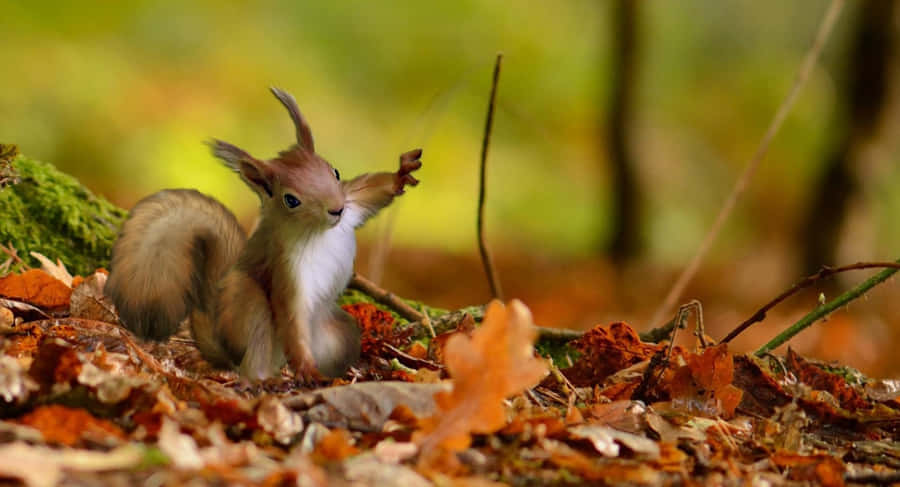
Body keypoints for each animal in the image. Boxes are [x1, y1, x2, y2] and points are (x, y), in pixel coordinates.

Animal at [105, 87, 422, 380]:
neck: (319, 231)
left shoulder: (353, 206)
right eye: (291, 200)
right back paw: (262, 380)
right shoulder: (286, 267)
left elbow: (372, 193)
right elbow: (291, 313)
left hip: (337, 330)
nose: (336, 209)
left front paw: (402, 173)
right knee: (256, 347)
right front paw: (305, 366)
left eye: (334, 171)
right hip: (248, 305)